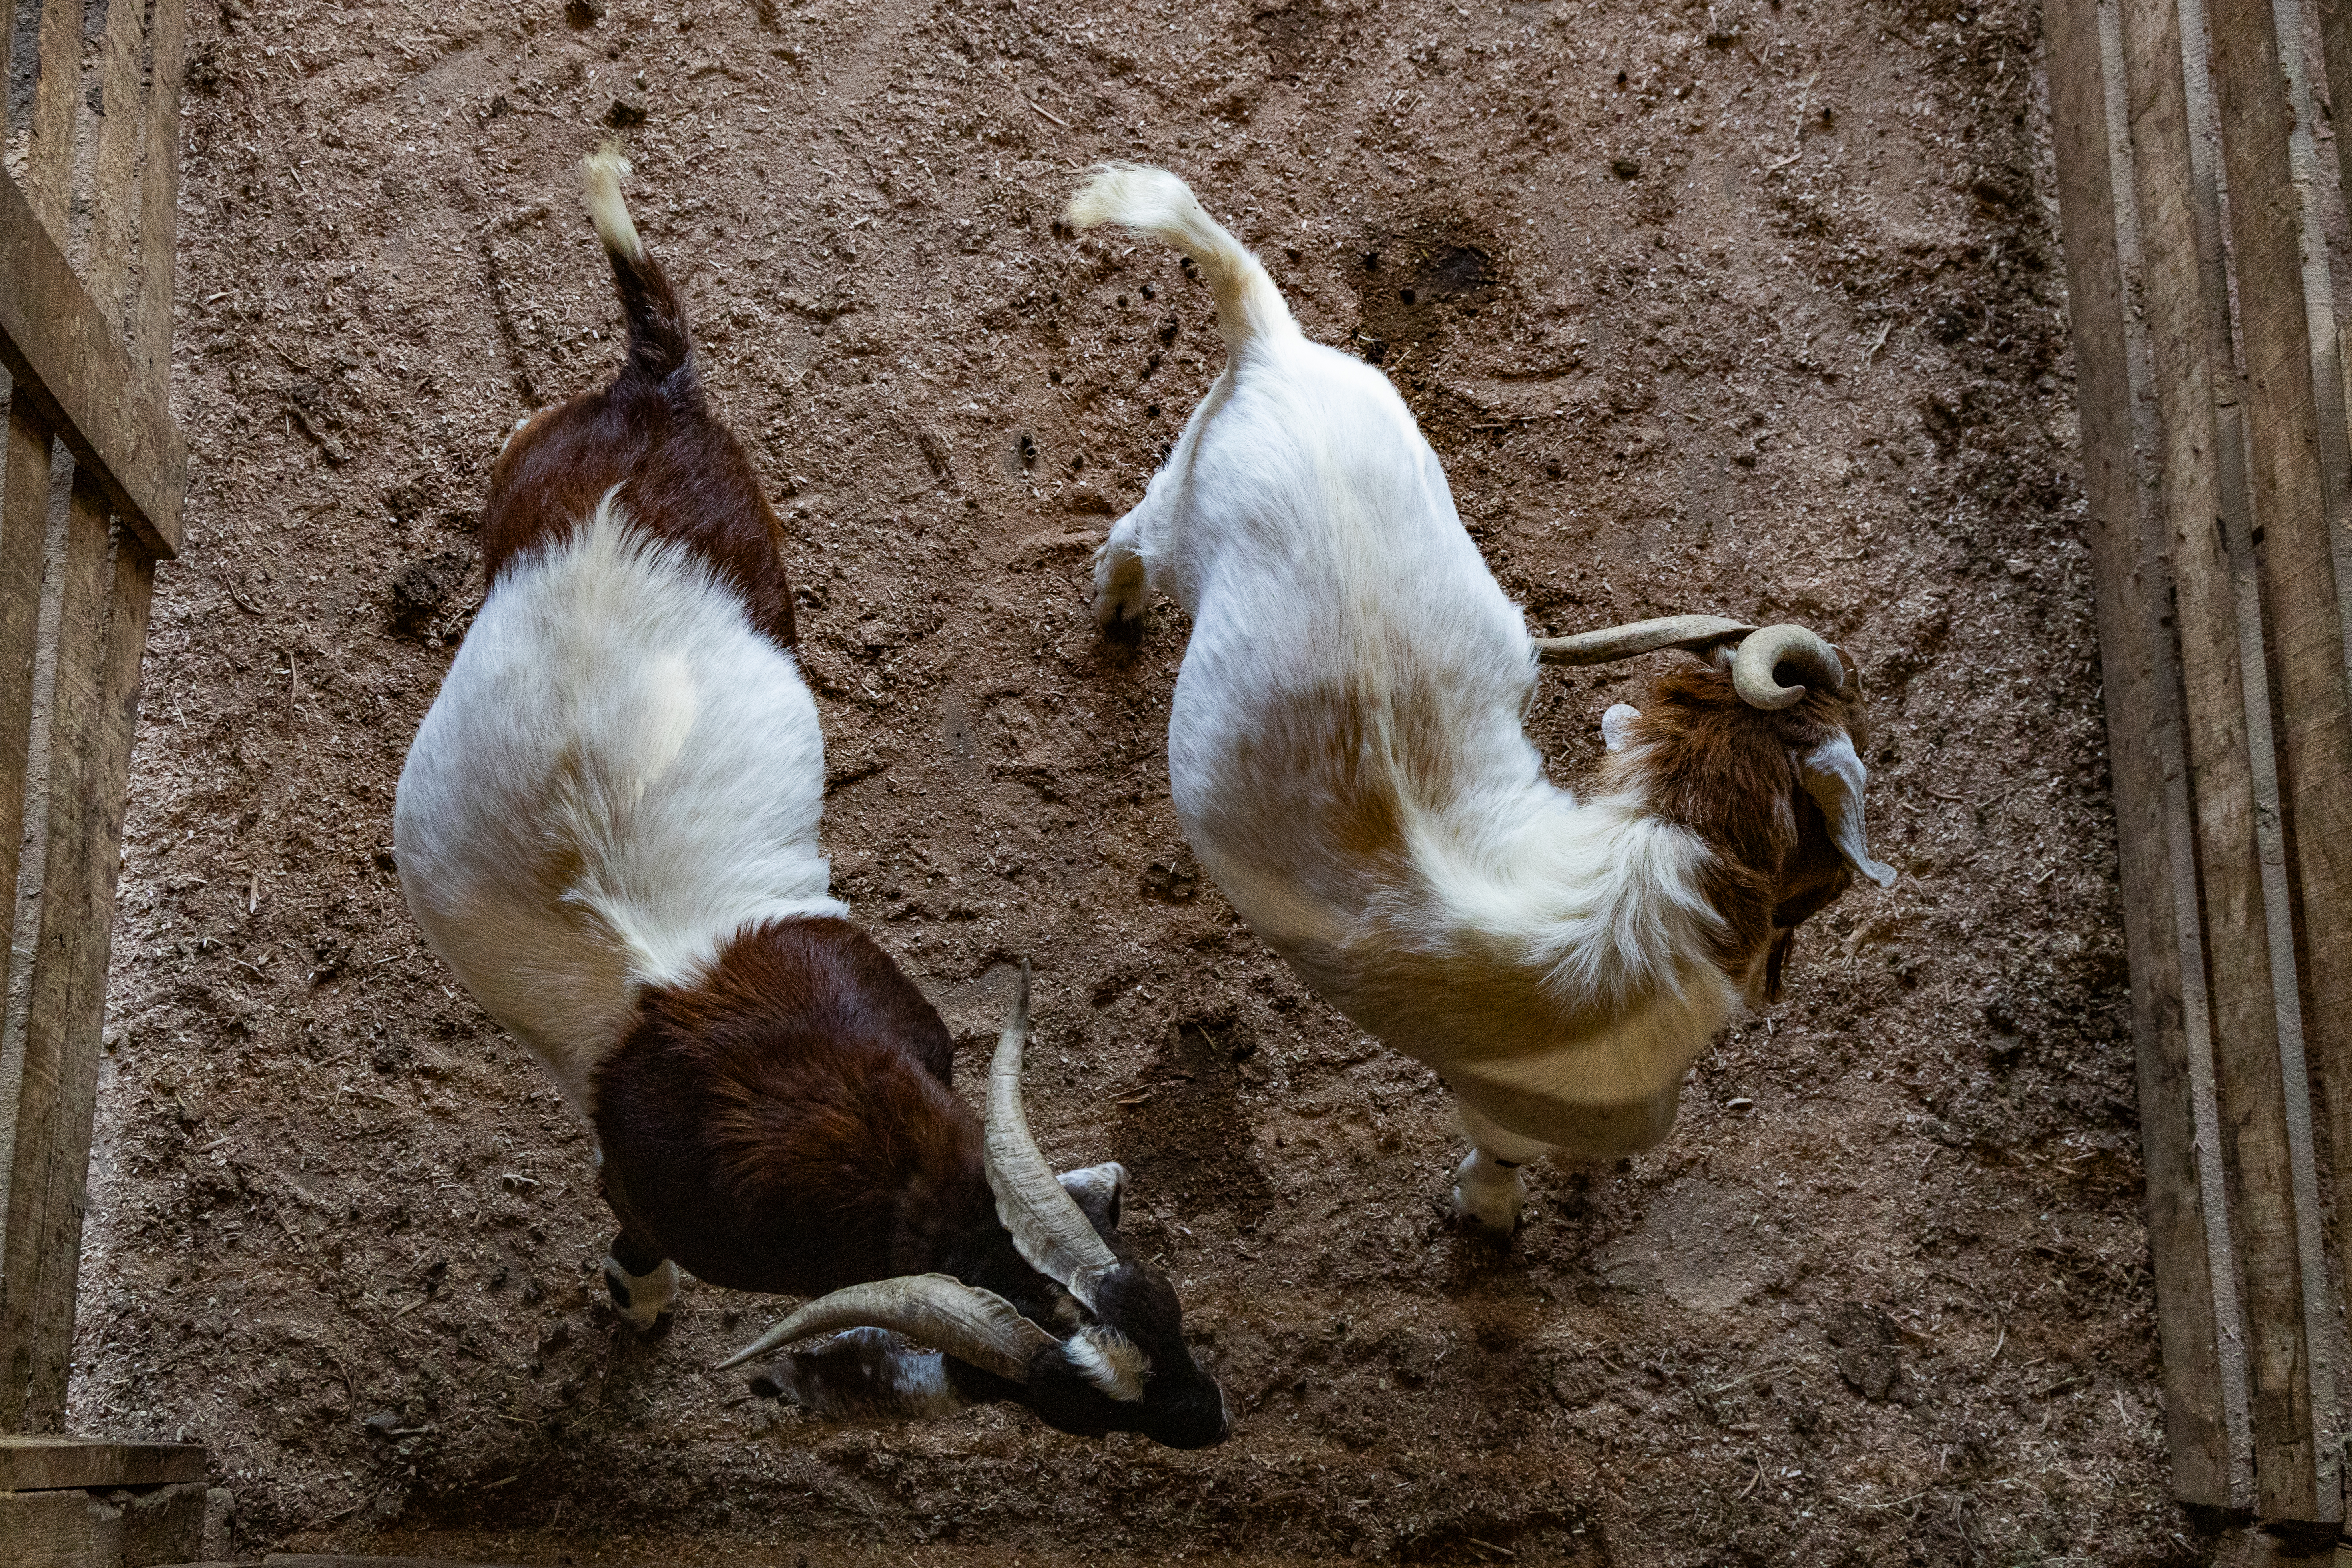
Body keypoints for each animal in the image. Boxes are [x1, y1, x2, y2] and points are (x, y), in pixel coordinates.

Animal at [391, 149, 1226, 1447]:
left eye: (1163, 1309)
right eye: (1060, 1405)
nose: (1210, 1419)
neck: (844, 1122)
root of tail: (652, 395)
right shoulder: (649, 1181)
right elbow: (631, 1233)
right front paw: (637, 1306)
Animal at [1065, 165, 1895, 1231]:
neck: (1654, 863)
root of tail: (1271, 351)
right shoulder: (1522, 1102)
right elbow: (1500, 1149)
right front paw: (1487, 1213)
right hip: (1183, 515)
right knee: (1132, 534)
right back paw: (1116, 606)